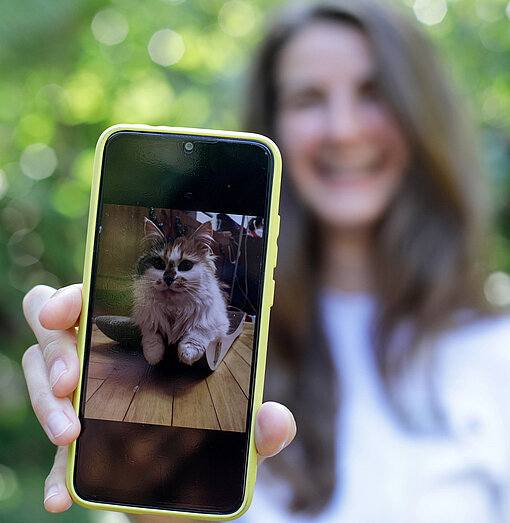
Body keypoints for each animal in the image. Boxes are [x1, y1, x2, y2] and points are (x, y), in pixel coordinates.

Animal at [132, 219, 228, 366]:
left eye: (186, 266)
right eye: (159, 264)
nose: (168, 279)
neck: (173, 308)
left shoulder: (218, 321)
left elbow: (199, 331)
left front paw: (187, 354)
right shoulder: (146, 318)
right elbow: (152, 336)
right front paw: (153, 357)